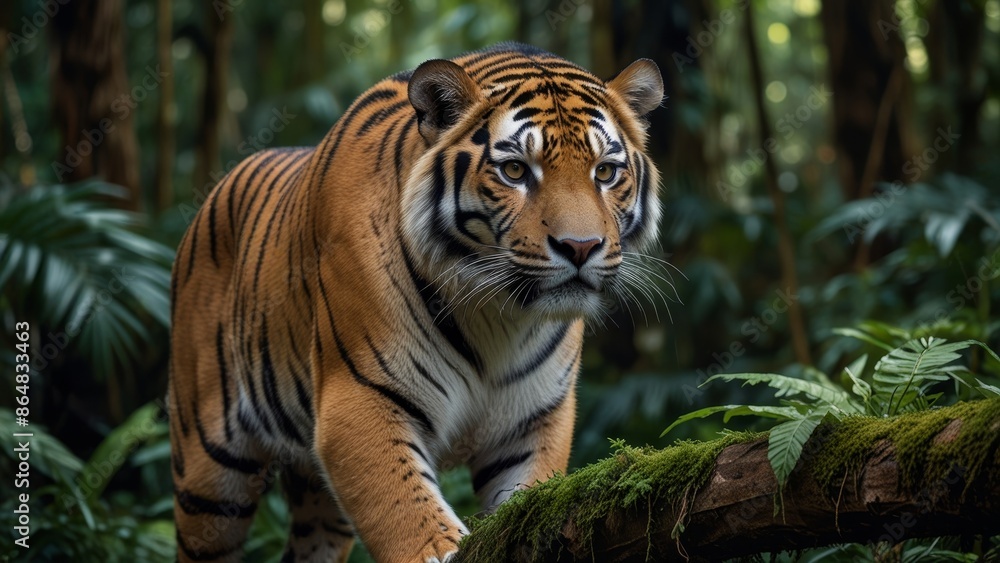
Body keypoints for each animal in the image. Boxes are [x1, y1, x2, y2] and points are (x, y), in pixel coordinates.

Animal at [169, 41, 664, 563]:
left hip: (318, 505)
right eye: (514, 171)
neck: (499, 316)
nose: (581, 247)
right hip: (208, 475)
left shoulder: (532, 420)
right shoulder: (358, 400)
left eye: (605, 172)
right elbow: (410, 514)